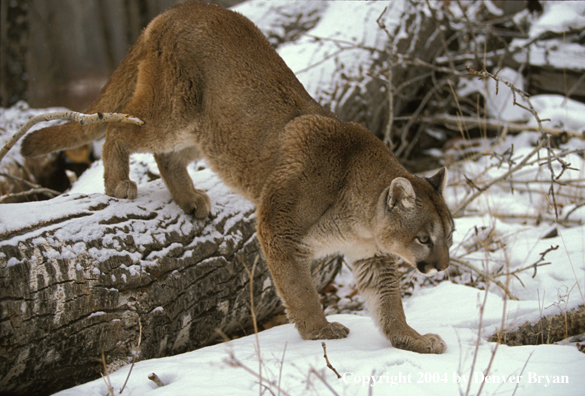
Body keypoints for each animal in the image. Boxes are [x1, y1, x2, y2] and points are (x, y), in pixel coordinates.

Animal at [20, 0, 452, 352]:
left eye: (449, 236)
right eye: (423, 238)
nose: (444, 266)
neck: (360, 219)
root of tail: (174, 11)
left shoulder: (372, 257)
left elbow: (389, 304)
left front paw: (411, 339)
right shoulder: (278, 228)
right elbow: (300, 290)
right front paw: (319, 330)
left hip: (210, 135)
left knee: (166, 156)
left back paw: (190, 200)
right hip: (175, 112)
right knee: (118, 126)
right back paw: (117, 184)